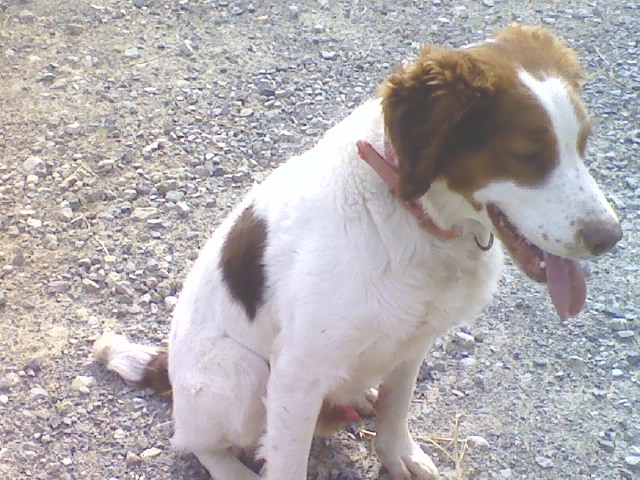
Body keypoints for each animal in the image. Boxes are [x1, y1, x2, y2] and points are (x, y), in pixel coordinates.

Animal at [93, 25, 622, 480]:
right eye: (528, 155)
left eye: (584, 143)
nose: (611, 237)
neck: (415, 219)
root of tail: (168, 367)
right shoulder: (295, 374)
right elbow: (285, 463)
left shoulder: (415, 339)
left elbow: (396, 409)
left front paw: (397, 456)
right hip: (241, 375)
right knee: (196, 443)